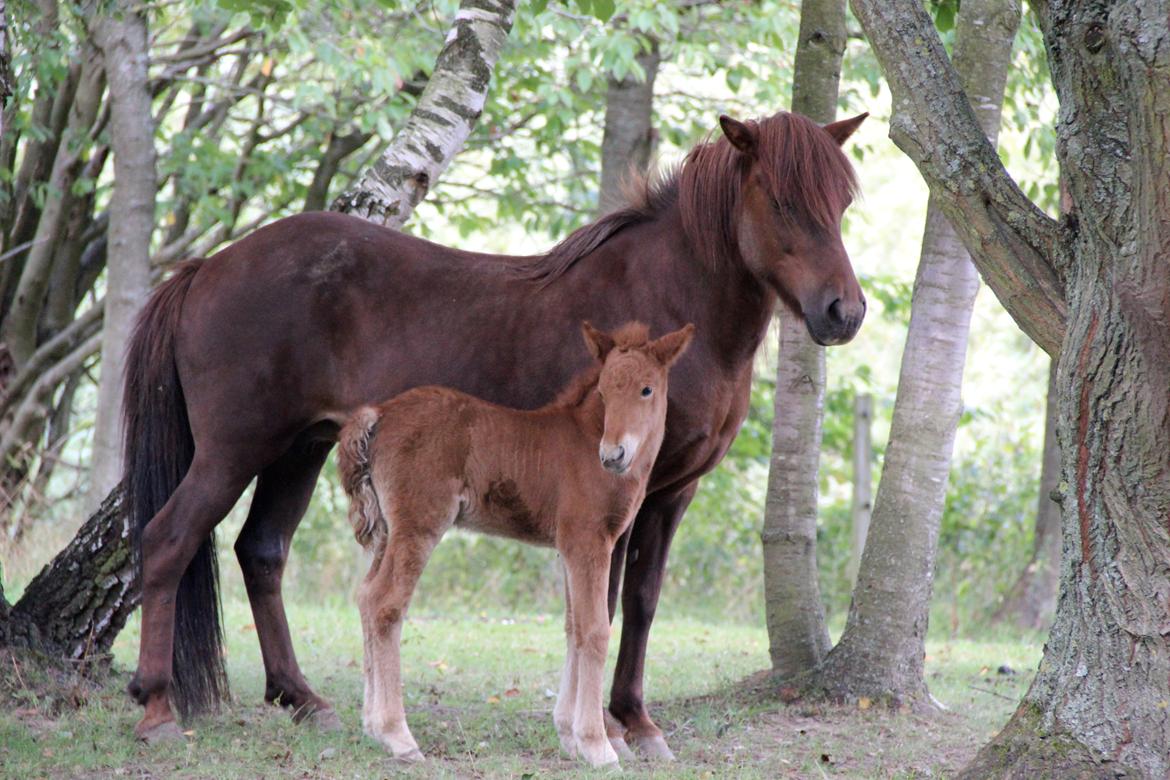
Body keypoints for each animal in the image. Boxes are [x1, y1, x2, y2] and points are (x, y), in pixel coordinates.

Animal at [336, 320, 692, 767]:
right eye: (605, 392)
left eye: (647, 389)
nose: (613, 454)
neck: (587, 441)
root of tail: (379, 414)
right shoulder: (588, 541)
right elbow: (595, 629)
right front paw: (597, 745)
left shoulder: (569, 548)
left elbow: (573, 627)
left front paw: (569, 737)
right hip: (418, 524)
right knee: (386, 603)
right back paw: (397, 736)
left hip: (387, 531)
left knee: (366, 596)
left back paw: (372, 726)